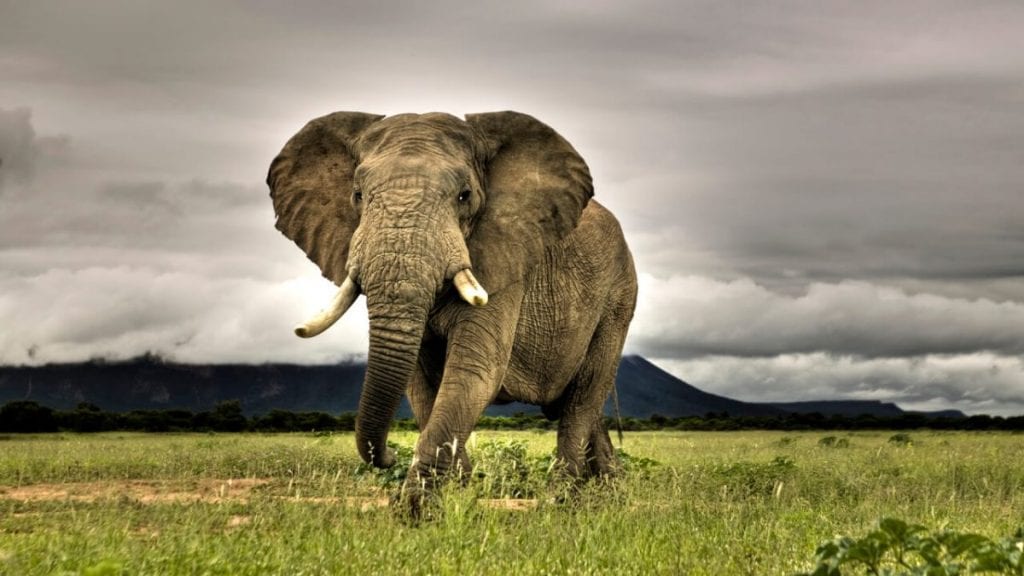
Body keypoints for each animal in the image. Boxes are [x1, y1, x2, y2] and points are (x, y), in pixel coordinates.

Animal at [267, 111, 637, 508]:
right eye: (358, 195)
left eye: (465, 196)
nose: (388, 456)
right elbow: (420, 383)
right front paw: (458, 492)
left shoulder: (503, 260)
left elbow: (474, 370)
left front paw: (416, 509)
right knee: (582, 405)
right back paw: (609, 490)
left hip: (619, 297)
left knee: (583, 397)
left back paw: (562, 499)